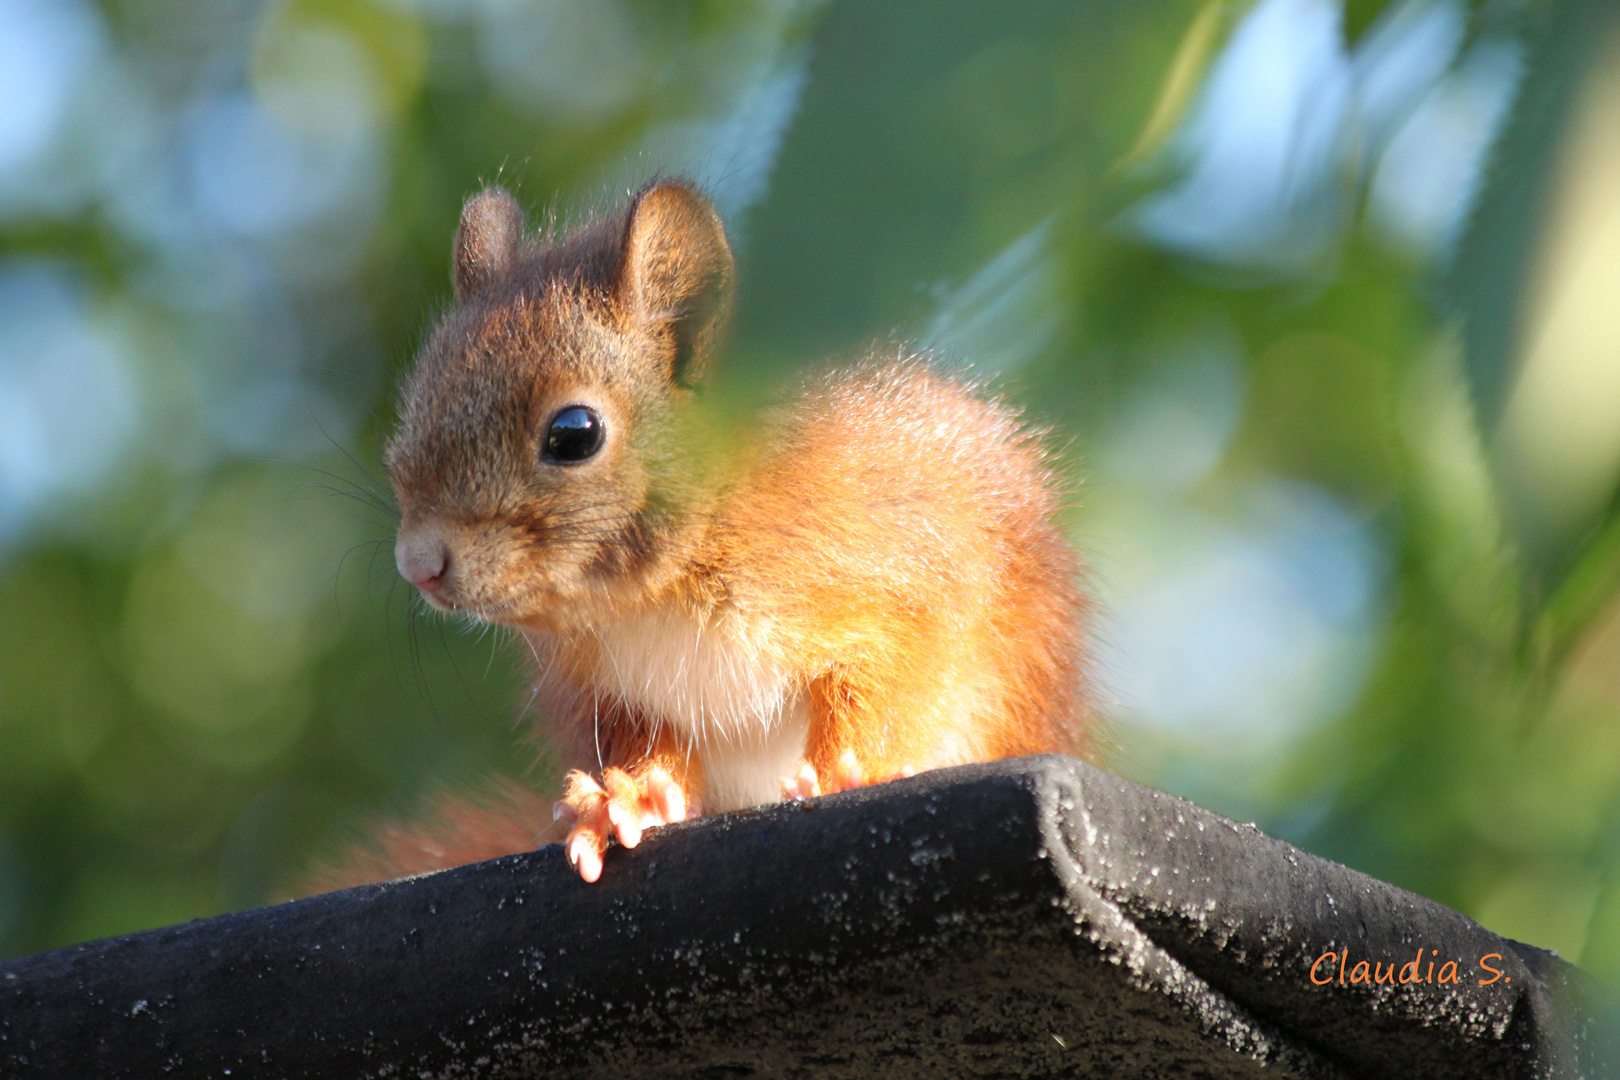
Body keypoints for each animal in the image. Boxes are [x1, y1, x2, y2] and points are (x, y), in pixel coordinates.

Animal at [311, 179, 1095, 887]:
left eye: (574, 433)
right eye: (417, 404)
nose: (418, 564)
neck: (660, 593)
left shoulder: (900, 583)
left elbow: (894, 682)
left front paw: (852, 772)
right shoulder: (617, 694)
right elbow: (654, 751)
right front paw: (622, 800)